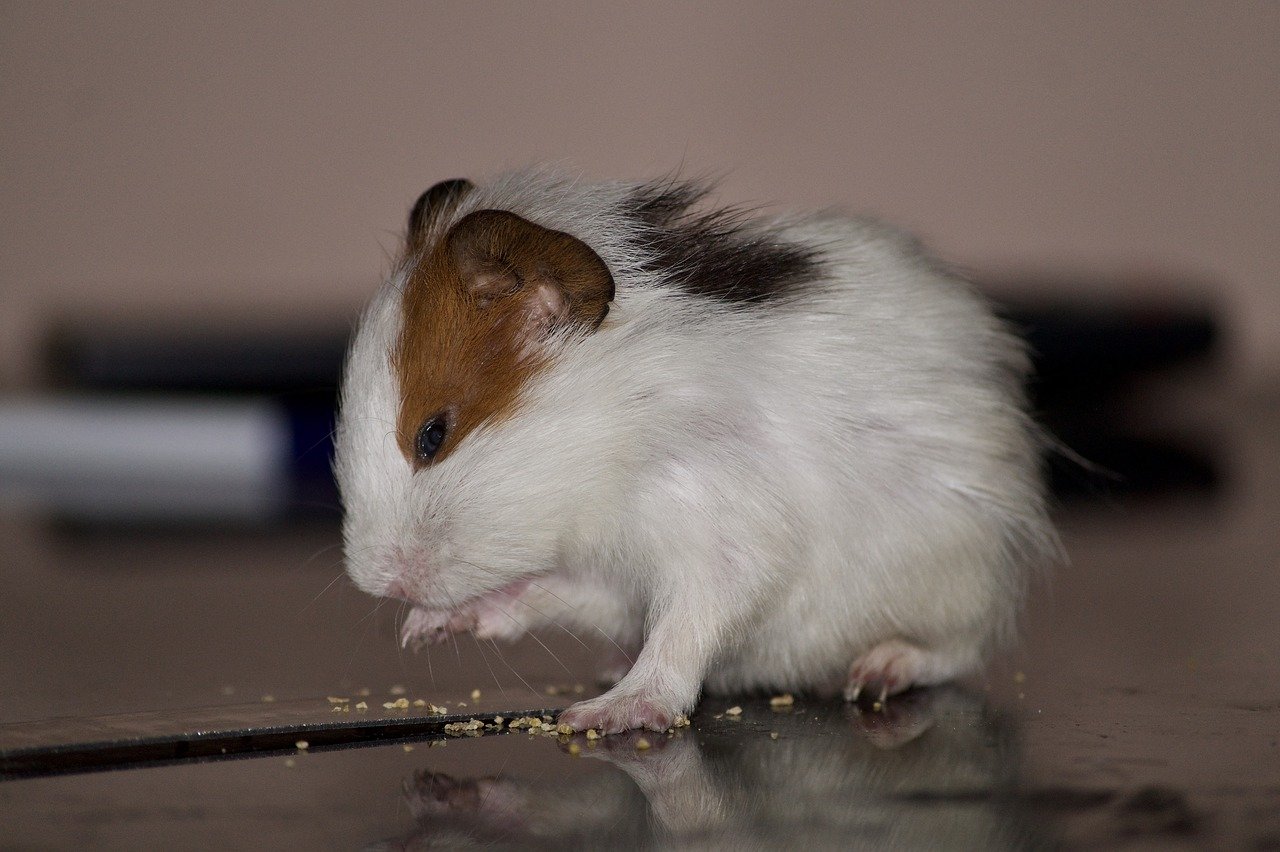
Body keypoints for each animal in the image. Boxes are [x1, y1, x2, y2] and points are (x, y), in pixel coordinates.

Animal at [334, 169, 1056, 734]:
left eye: (433, 434)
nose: (376, 582)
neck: (617, 440)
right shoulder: (609, 575)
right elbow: (540, 594)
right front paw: (426, 629)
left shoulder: (724, 544)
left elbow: (682, 635)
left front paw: (604, 716)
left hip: (962, 581)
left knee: (957, 652)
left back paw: (875, 672)